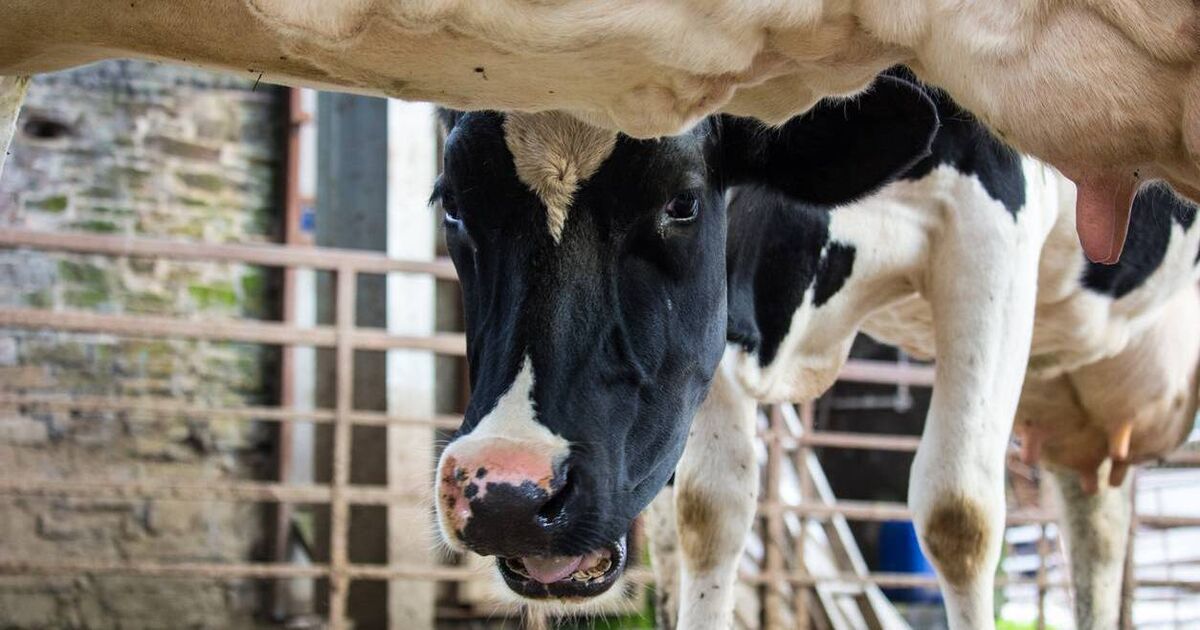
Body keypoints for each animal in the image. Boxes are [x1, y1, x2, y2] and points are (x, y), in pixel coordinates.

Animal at [430, 71, 1200, 629]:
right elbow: (710, 514)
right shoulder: (712, 346)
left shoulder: (992, 225)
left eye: (681, 202)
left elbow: (959, 516)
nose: (506, 495)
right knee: (1098, 536)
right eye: (451, 205)